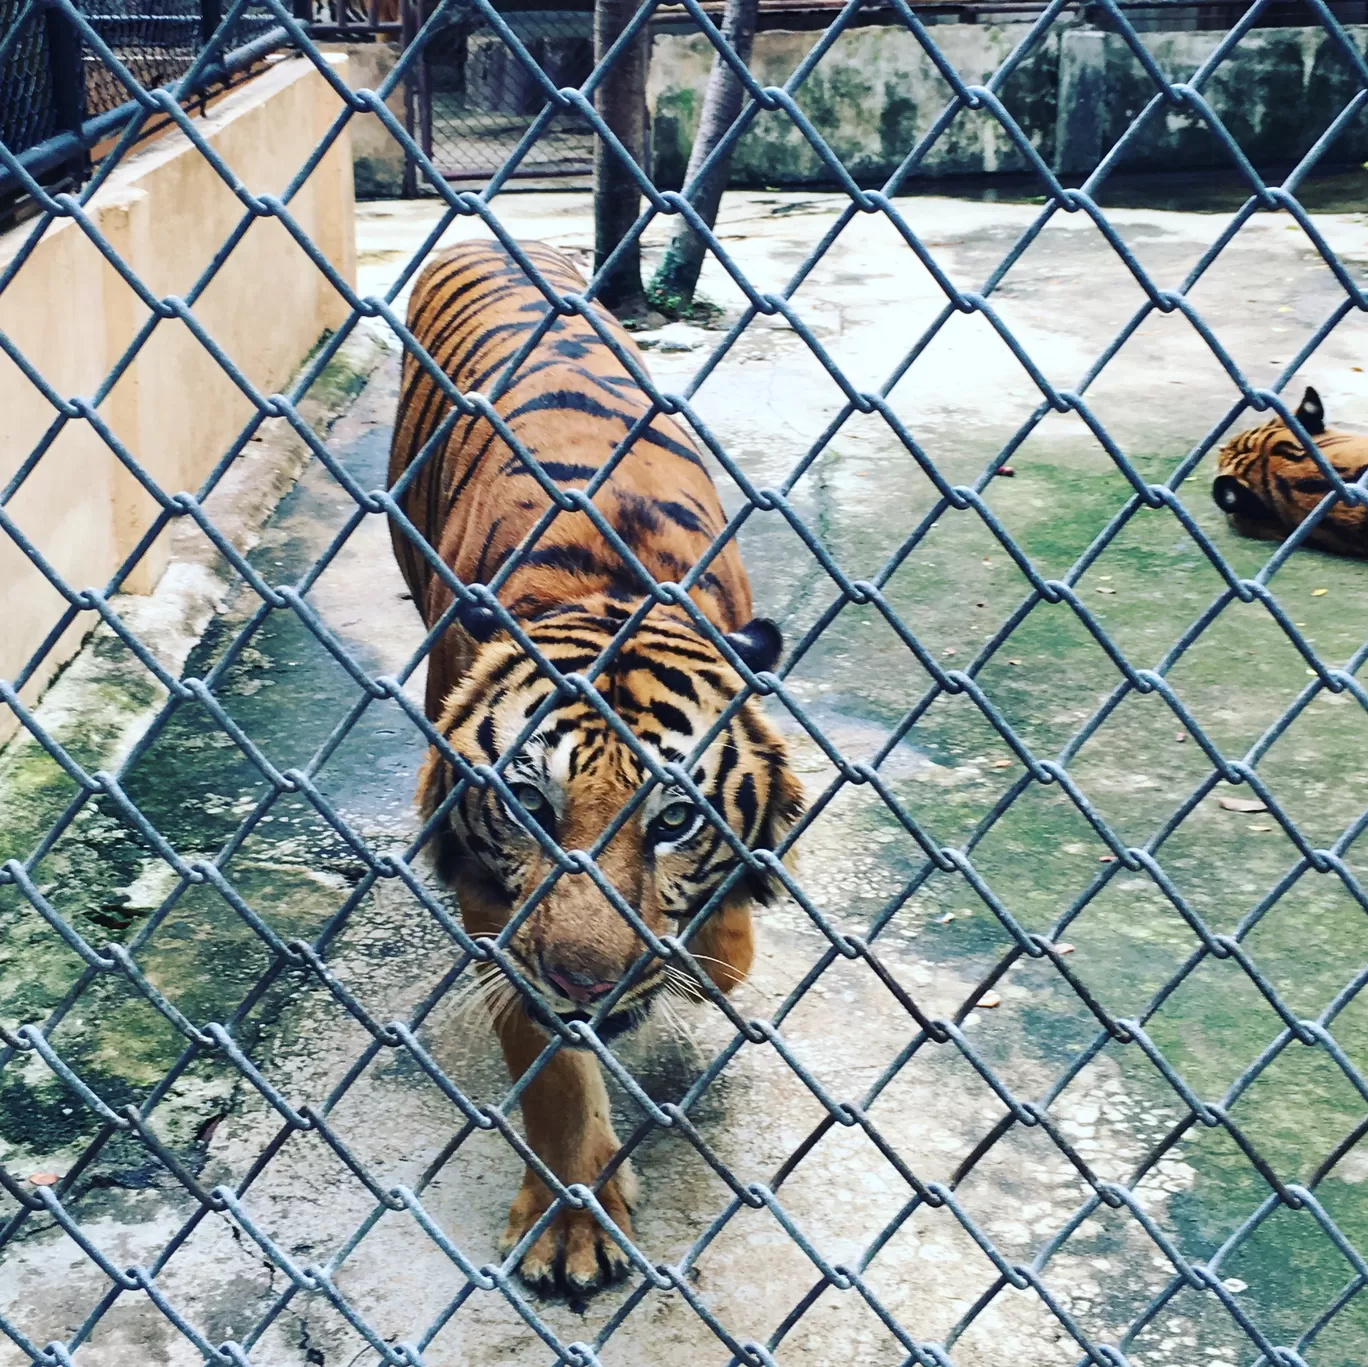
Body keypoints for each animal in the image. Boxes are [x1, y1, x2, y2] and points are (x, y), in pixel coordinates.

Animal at [385, 240, 798, 1297]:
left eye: (674, 819)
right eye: (530, 805)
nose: (585, 983)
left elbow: (724, 945)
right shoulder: (494, 897)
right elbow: (552, 1067)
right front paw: (572, 1223)